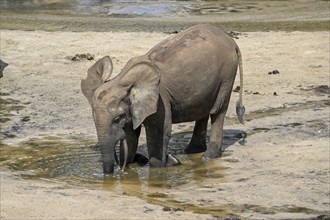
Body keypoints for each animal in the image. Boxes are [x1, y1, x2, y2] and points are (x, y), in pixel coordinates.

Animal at [81, 23, 244, 174]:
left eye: (116, 119)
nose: (119, 170)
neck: (123, 79)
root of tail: (229, 39)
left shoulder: (160, 100)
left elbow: (159, 133)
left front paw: (161, 167)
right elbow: (131, 135)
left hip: (227, 75)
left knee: (218, 110)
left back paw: (208, 156)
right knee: (203, 109)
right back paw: (192, 151)